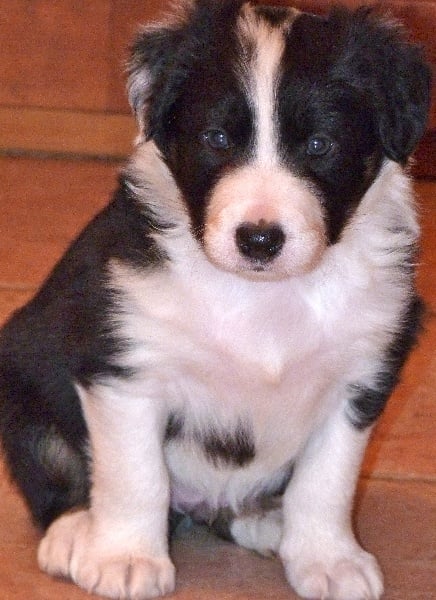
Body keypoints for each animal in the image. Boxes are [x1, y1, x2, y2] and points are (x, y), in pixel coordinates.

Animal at [0, 1, 431, 599]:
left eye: (319, 145)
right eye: (218, 139)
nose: (260, 239)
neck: (263, 294)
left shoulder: (362, 373)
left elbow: (327, 482)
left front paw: (329, 560)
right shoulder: (126, 366)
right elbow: (135, 475)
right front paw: (125, 558)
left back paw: (265, 520)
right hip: (21, 378)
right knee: (55, 467)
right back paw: (74, 531)